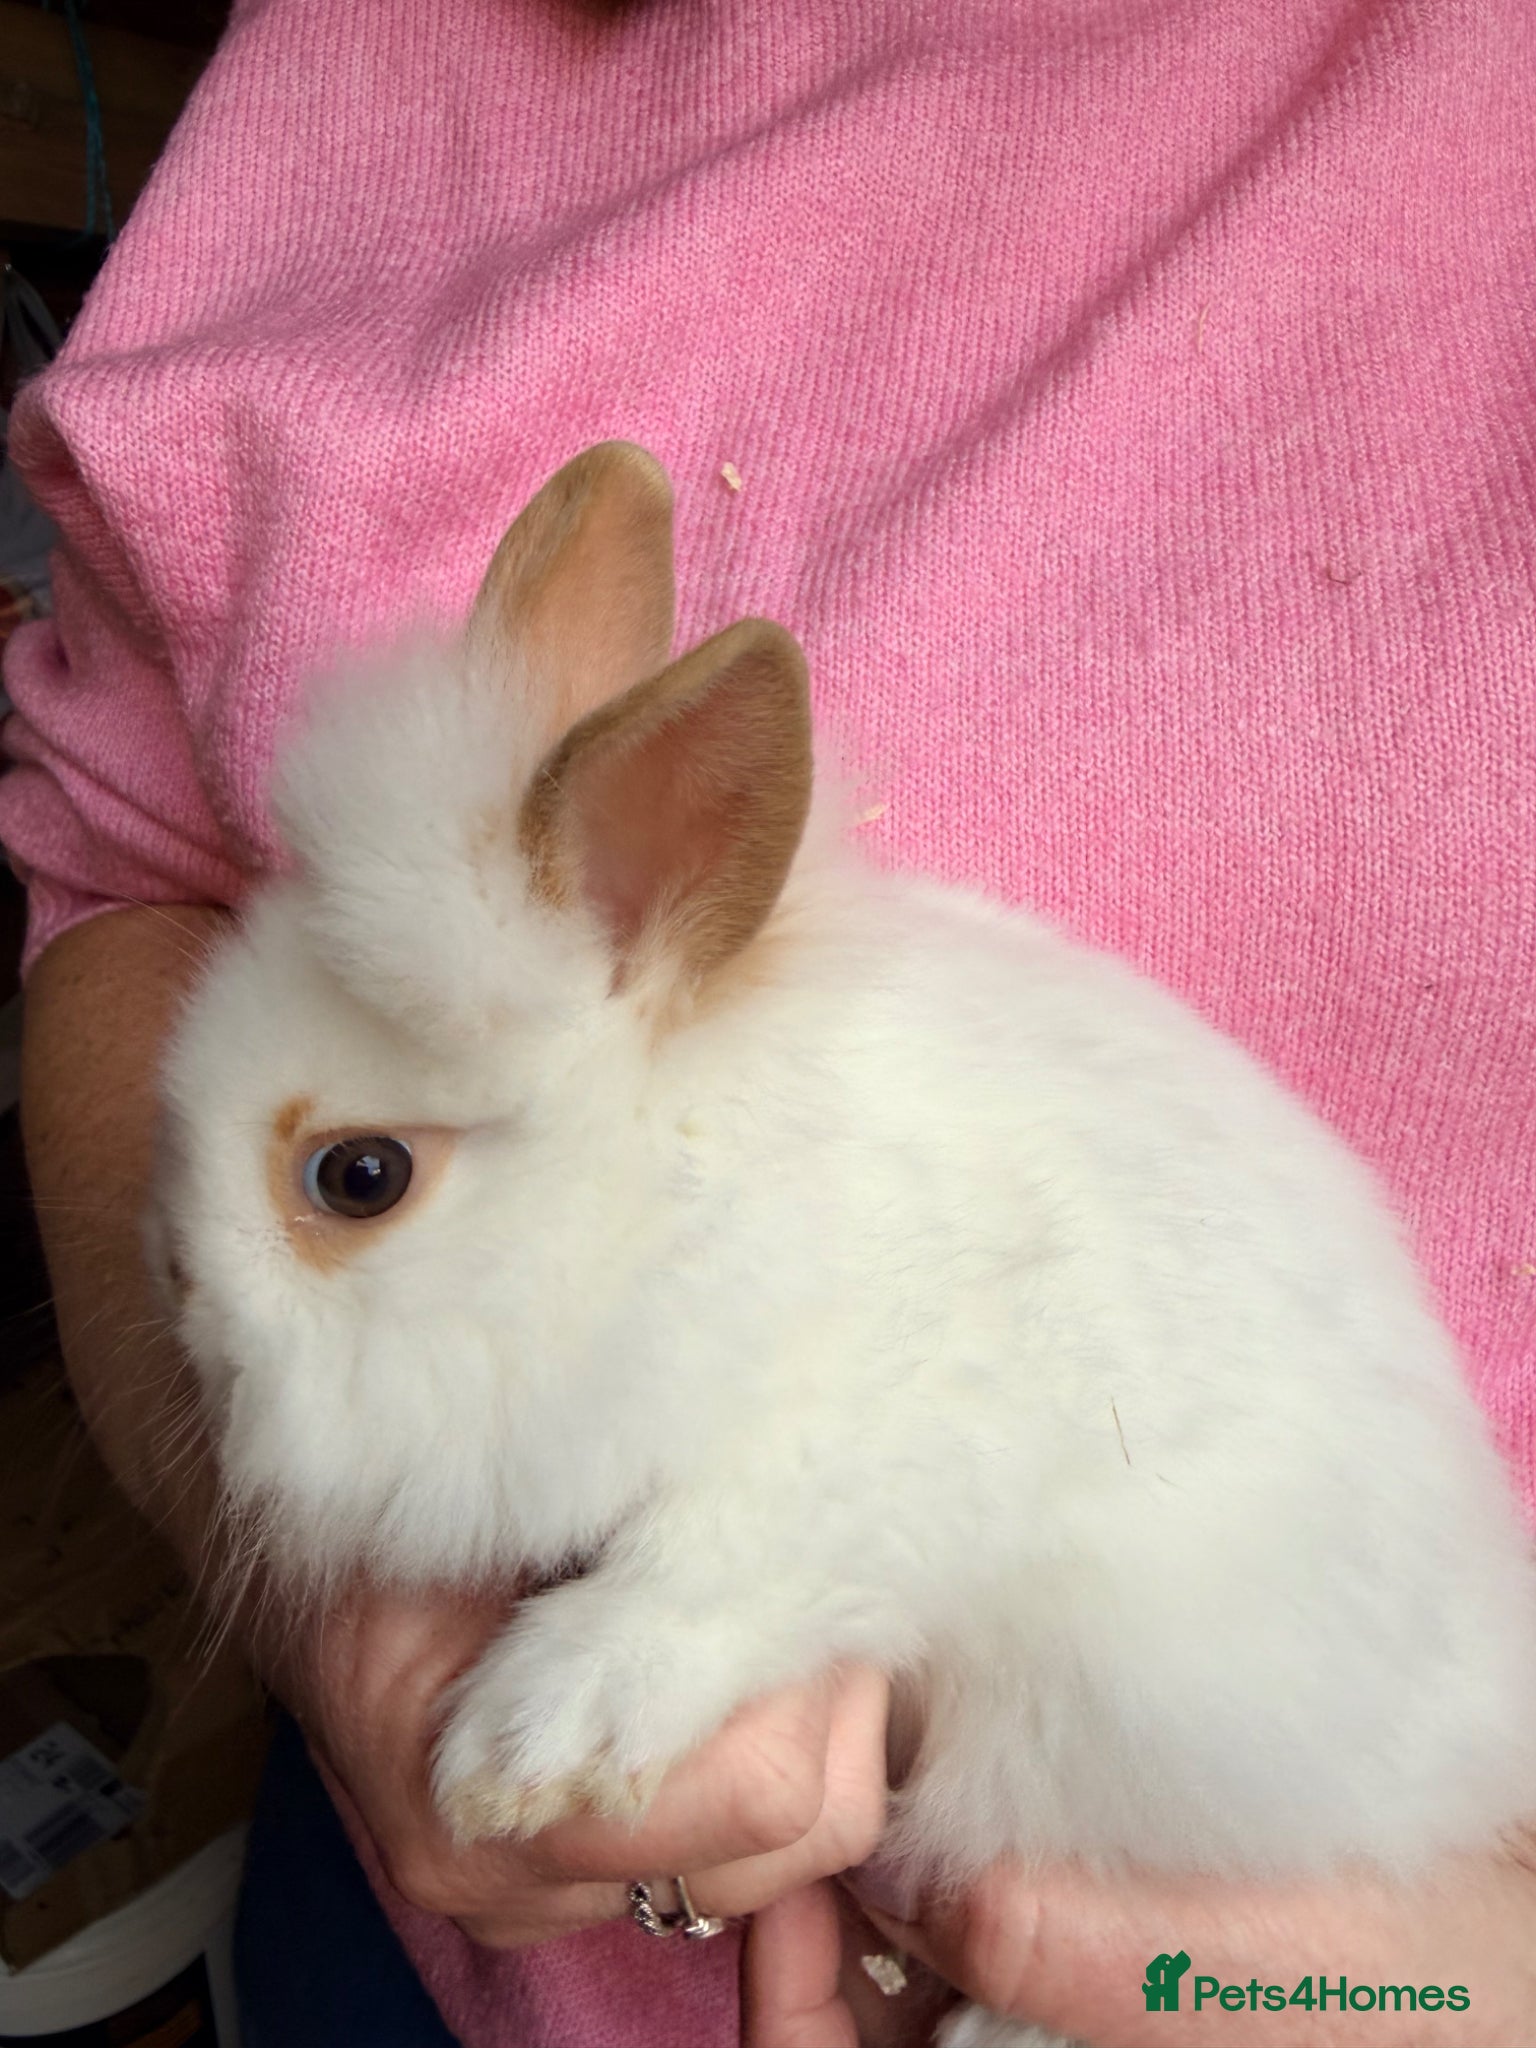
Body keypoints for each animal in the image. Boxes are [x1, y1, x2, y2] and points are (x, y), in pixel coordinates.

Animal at [150, 442, 1536, 2048]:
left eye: (358, 1177)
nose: (178, 1294)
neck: (668, 1209)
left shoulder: (854, 1473)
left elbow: (711, 1580)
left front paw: (523, 1745)